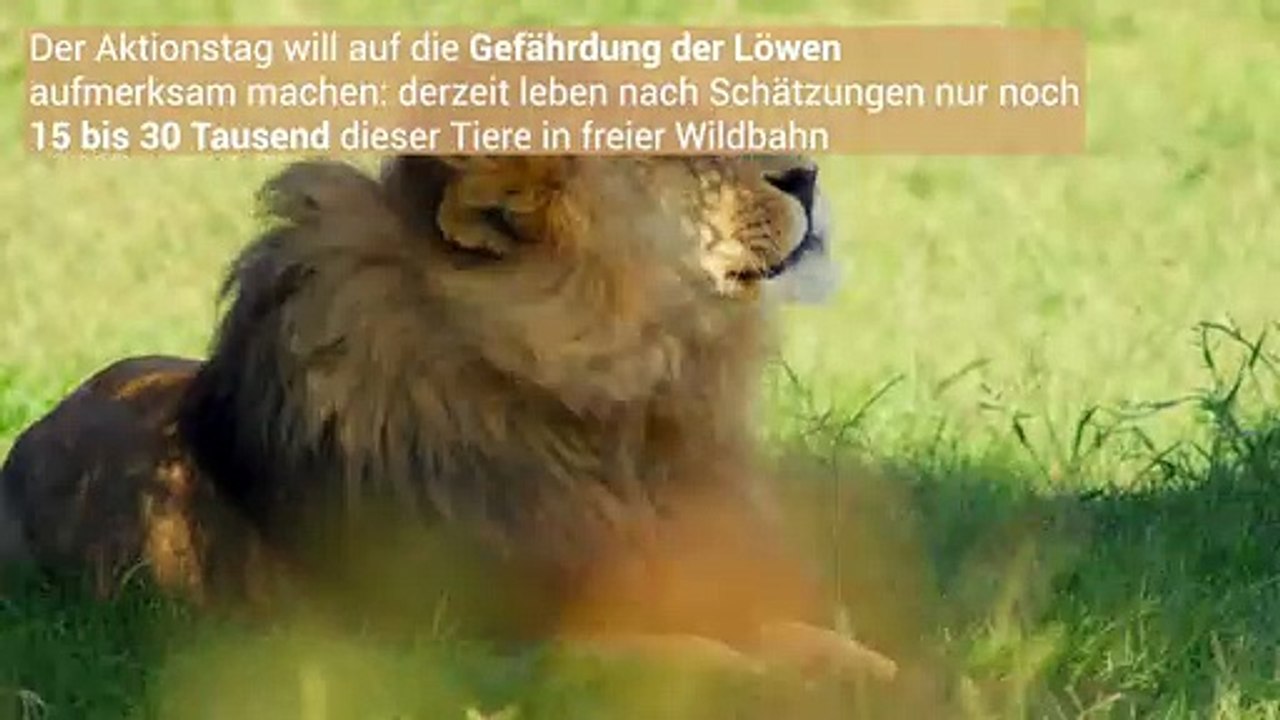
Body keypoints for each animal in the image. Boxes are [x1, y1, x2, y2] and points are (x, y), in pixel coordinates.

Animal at [0, 154, 890, 679]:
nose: (807, 174)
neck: (622, 422)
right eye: (678, 161)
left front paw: (872, 670)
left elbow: (815, 640)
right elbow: (685, 658)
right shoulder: (481, 650)